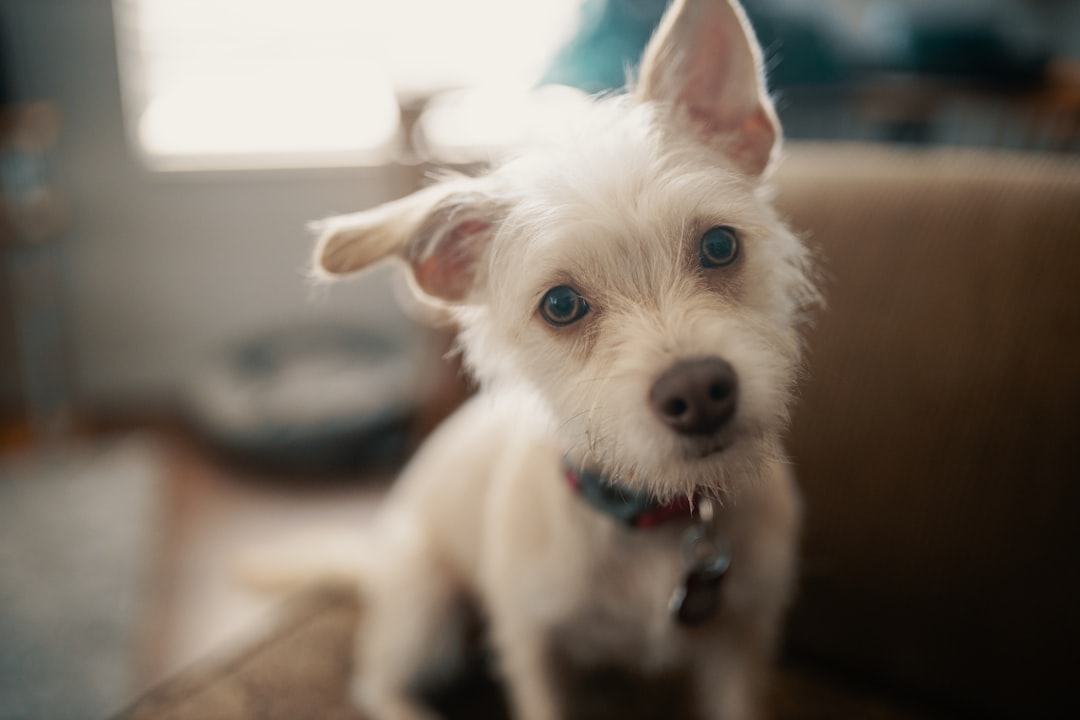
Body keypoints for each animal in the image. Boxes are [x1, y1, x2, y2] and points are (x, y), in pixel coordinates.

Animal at [300, 2, 812, 716]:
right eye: (562, 305)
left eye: (719, 245)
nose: (698, 391)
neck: (654, 518)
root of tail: (370, 562)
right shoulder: (530, 643)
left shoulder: (742, 641)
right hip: (426, 604)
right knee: (374, 680)